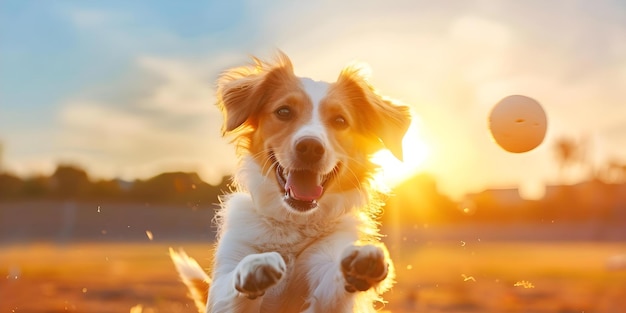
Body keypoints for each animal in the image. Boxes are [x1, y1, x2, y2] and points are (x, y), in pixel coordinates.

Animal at [169, 52, 410, 310]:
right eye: (284, 112)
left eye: (340, 120)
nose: (311, 147)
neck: (293, 223)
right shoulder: (226, 277)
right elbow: (233, 283)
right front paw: (254, 265)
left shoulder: (326, 286)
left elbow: (333, 283)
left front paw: (361, 264)